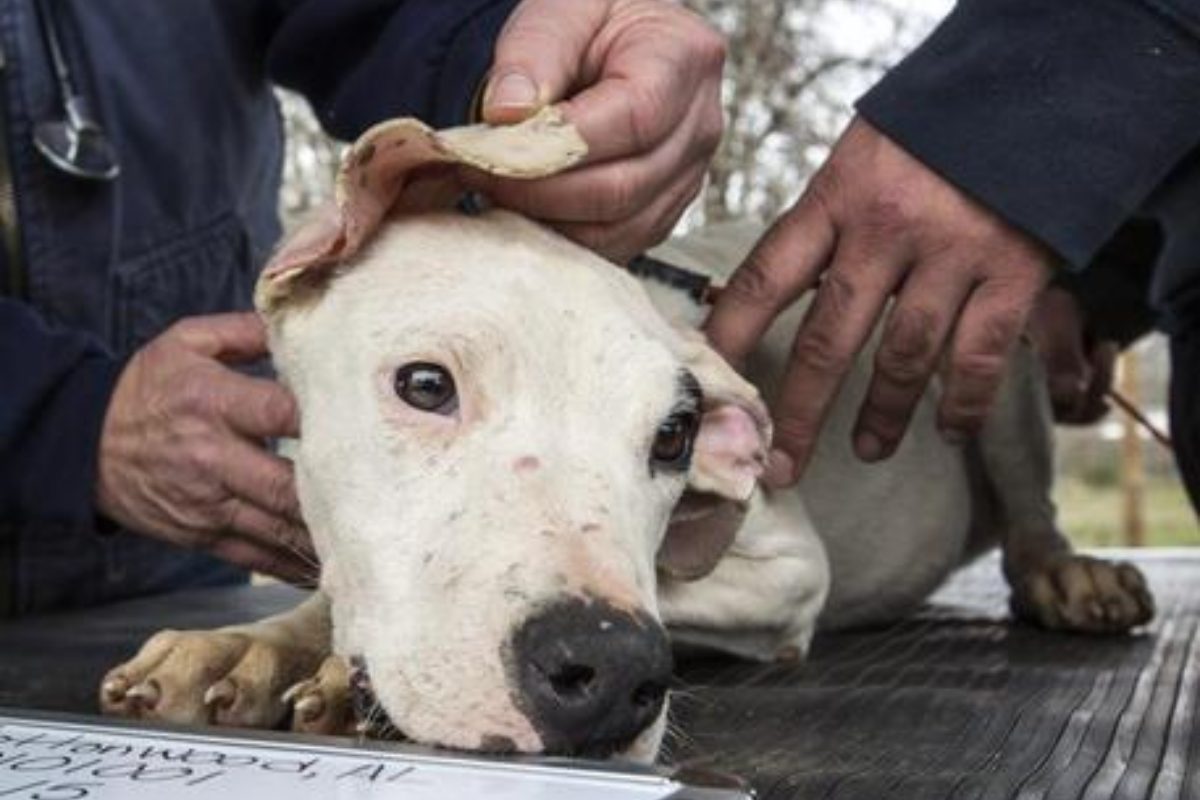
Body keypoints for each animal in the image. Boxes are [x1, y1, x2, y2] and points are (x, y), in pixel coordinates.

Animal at [100, 110, 1152, 762]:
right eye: (426, 385)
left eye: (674, 437)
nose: (610, 674)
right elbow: (330, 592)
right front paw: (250, 648)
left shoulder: (787, 571)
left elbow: (676, 587)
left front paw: (311, 658)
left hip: (995, 363)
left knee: (1031, 510)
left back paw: (1069, 574)